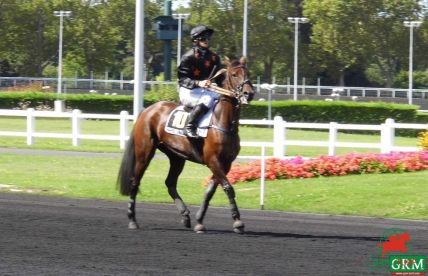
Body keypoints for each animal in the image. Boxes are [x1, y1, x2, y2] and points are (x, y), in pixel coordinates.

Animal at [116, 57, 254, 234]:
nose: (249, 93)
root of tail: (147, 110)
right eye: (234, 74)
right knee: (135, 181)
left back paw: (185, 215)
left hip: (176, 157)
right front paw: (238, 222)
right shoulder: (213, 160)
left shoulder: (225, 163)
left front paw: (199, 221)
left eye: (248, 73)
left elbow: (210, 191)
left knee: (170, 183)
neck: (222, 122)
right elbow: (228, 187)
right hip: (144, 152)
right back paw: (132, 219)